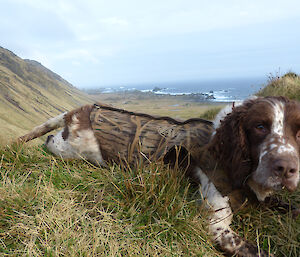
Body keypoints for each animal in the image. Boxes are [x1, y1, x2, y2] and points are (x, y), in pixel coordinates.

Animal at [18, 96, 300, 256]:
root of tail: (83, 109)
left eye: (298, 132)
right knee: (51, 139)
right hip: (75, 148)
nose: (286, 169)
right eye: (259, 126)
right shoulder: (218, 228)